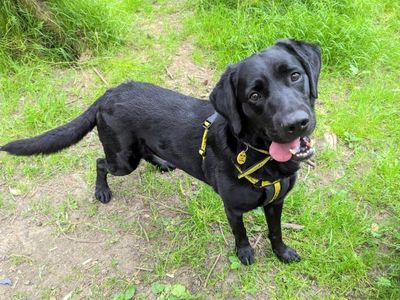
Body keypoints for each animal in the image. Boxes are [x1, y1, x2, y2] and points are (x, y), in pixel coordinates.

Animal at [0, 39, 320, 264]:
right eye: (254, 95)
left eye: (295, 76)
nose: (296, 123)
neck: (257, 153)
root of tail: (108, 93)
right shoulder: (233, 208)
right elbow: (240, 234)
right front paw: (244, 254)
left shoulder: (276, 202)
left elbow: (276, 231)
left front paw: (282, 253)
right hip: (122, 159)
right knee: (100, 162)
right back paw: (102, 191)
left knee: (142, 153)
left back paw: (160, 162)